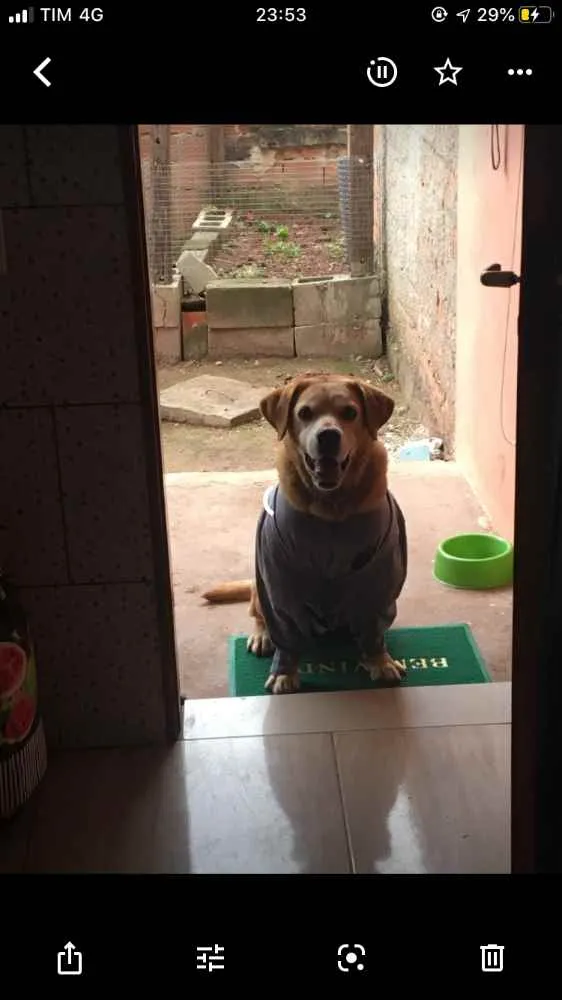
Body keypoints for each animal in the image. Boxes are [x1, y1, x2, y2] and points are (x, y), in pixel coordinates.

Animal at [202, 374, 406, 696]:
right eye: (305, 413)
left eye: (350, 412)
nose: (328, 437)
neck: (332, 510)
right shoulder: (281, 582)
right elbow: (284, 632)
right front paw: (284, 673)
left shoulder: (378, 580)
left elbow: (373, 630)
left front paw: (380, 661)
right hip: (259, 587)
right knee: (257, 612)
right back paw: (262, 636)